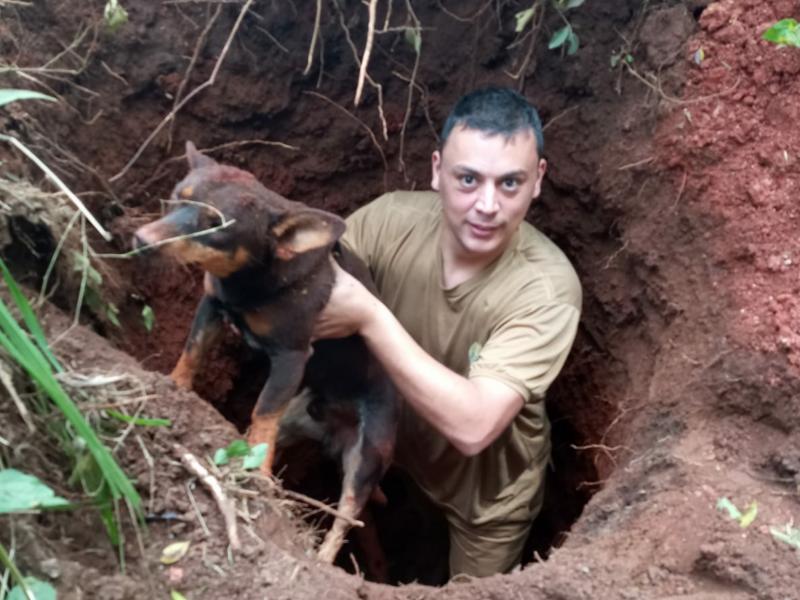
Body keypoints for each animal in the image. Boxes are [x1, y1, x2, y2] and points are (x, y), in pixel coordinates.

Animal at [133, 142, 398, 564]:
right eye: (175, 199)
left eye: (216, 224)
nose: (141, 239)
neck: (249, 283)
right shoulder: (211, 306)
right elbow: (192, 352)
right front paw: (174, 387)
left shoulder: (292, 356)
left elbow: (263, 409)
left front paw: (255, 476)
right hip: (297, 420)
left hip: (367, 457)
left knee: (346, 517)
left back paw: (322, 560)